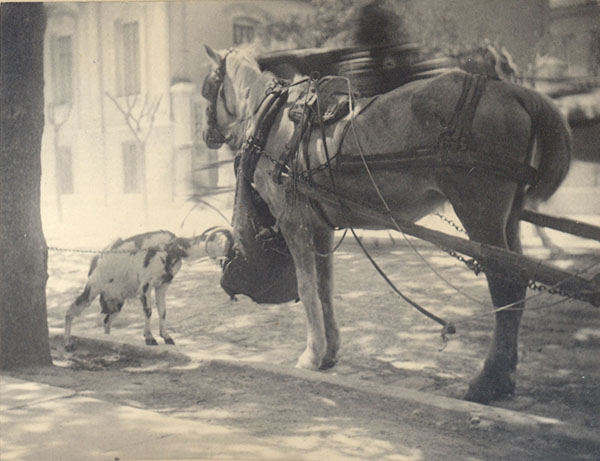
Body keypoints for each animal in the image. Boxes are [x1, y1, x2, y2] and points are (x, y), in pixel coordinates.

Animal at [64, 228, 233, 350]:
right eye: (228, 245)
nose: (228, 262)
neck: (168, 248)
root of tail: (96, 259)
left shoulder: (162, 286)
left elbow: (163, 311)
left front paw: (166, 337)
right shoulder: (146, 286)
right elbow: (148, 311)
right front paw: (150, 338)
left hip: (117, 303)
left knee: (106, 321)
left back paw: (108, 339)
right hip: (92, 289)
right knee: (71, 311)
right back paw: (67, 344)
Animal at [199, 44, 568, 402]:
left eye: (208, 88)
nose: (206, 134)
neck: (275, 121)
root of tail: (511, 90)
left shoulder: (294, 223)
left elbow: (306, 288)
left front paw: (311, 355)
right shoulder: (320, 227)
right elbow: (324, 287)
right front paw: (329, 352)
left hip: (480, 214)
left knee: (505, 286)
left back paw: (488, 381)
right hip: (508, 218)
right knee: (517, 284)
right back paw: (505, 374)